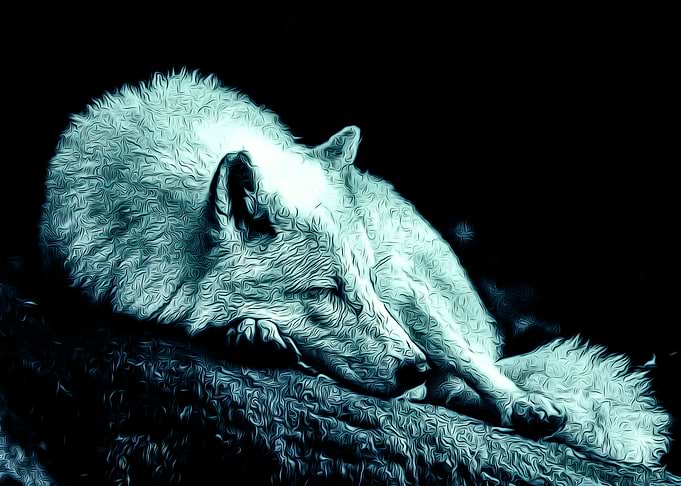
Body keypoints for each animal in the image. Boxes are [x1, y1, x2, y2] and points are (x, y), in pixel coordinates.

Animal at [39, 71, 668, 452]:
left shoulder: (387, 281)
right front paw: (255, 331)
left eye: (360, 283)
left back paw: (523, 404)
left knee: (473, 367)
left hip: (415, 291)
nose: (412, 367)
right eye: (327, 292)